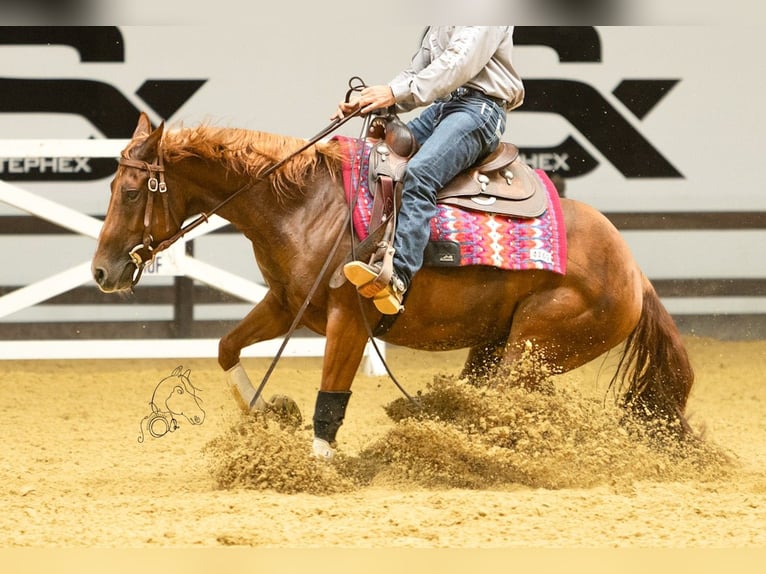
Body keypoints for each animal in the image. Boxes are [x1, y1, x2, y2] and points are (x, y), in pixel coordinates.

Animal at [93, 112, 694, 458]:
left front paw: (315, 467)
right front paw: (267, 412)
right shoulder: (288, 305)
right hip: (496, 346)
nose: (101, 272)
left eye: (131, 192)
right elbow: (226, 347)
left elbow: (331, 398)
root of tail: (635, 274)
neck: (305, 204)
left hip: (535, 347)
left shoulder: (348, 320)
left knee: (510, 403)